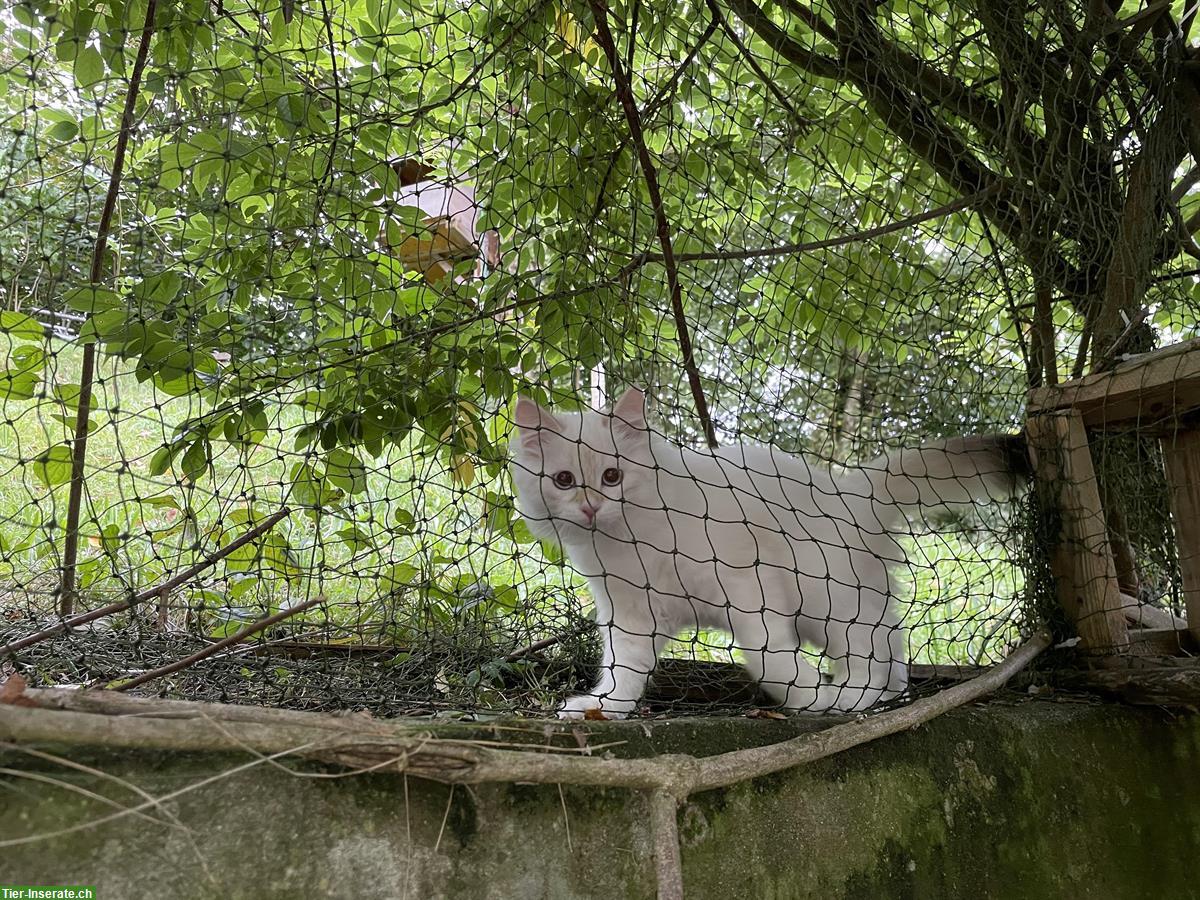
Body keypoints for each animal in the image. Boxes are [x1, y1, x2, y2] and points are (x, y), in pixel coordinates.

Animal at [506, 388, 1022, 720]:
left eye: (612, 476)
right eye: (564, 481)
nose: (591, 506)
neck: (629, 542)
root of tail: (852, 489)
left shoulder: (748, 582)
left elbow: (766, 654)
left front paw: (806, 694)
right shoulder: (631, 614)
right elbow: (623, 670)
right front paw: (603, 708)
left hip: (830, 601)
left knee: (871, 657)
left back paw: (848, 699)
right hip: (848, 605)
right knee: (891, 650)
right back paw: (882, 699)